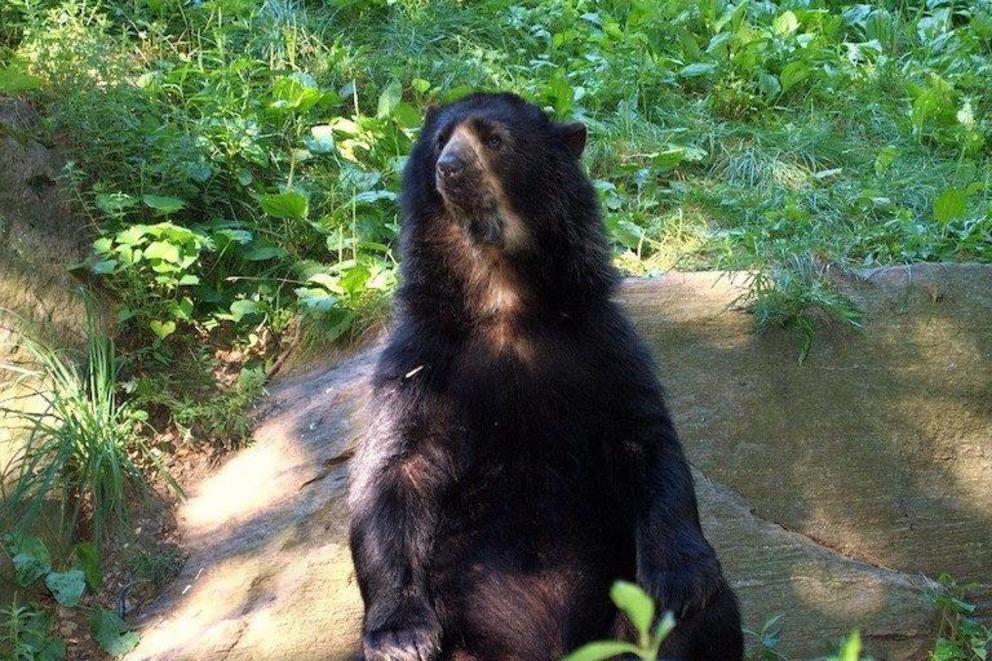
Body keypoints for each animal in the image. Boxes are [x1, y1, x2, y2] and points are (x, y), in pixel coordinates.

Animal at [344, 93, 740, 660]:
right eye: (439, 141)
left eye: (494, 140)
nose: (450, 168)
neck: (503, 296)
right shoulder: (422, 360)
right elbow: (395, 468)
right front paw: (401, 636)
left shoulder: (601, 343)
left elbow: (644, 439)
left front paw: (681, 580)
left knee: (704, 617)